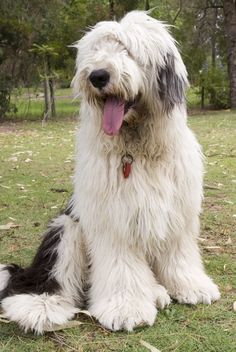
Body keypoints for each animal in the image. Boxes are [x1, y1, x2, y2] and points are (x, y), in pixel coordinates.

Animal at [0, 11, 221, 332]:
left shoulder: (177, 211)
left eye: (129, 50)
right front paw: (125, 308)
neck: (136, 149)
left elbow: (178, 252)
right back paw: (40, 306)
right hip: (66, 228)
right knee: (48, 277)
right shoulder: (112, 218)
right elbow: (121, 266)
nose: (97, 76)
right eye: (96, 50)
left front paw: (191, 285)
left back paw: (157, 291)